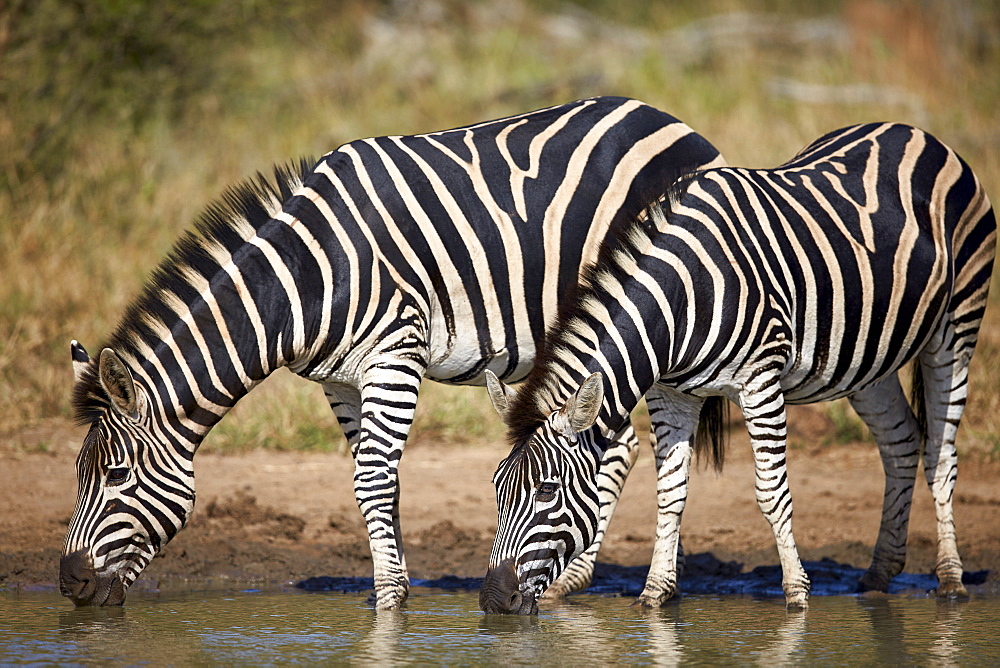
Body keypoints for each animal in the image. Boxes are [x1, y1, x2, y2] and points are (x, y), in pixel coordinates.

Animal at [56, 95, 728, 612]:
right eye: (78, 476)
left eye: (114, 476)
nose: (70, 585)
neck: (307, 278)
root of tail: (677, 124)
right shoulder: (340, 380)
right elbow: (380, 482)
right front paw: (394, 591)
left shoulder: (395, 353)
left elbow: (373, 480)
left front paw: (387, 609)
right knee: (620, 442)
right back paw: (569, 581)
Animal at [480, 122, 996, 612]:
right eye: (496, 490)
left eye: (547, 492)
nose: (492, 602)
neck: (682, 297)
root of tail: (918, 134)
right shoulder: (671, 394)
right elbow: (670, 492)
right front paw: (653, 598)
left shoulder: (760, 382)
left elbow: (771, 492)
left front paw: (797, 597)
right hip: (869, 356)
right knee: (902, 442)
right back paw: (879, 573)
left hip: (955, 326)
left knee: (941, 454)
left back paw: (951, 580)